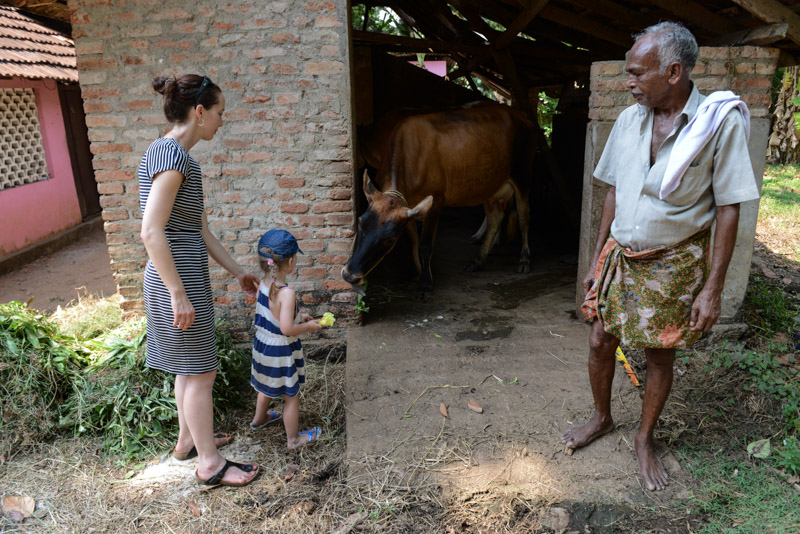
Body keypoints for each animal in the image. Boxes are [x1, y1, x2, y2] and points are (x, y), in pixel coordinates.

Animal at [342, 103, 536, 298]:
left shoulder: (435, 202)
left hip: (523, 176)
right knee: (494, 220)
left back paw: (524, 260)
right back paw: (478, 261)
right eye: (360, 223)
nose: (350, 275)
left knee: (524, 218)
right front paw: (416, 276)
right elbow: (413, 243)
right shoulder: (409, 208)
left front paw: (426, 284)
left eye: (391, 239)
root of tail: (519, 113)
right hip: (489, 186)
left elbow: (425, 246)